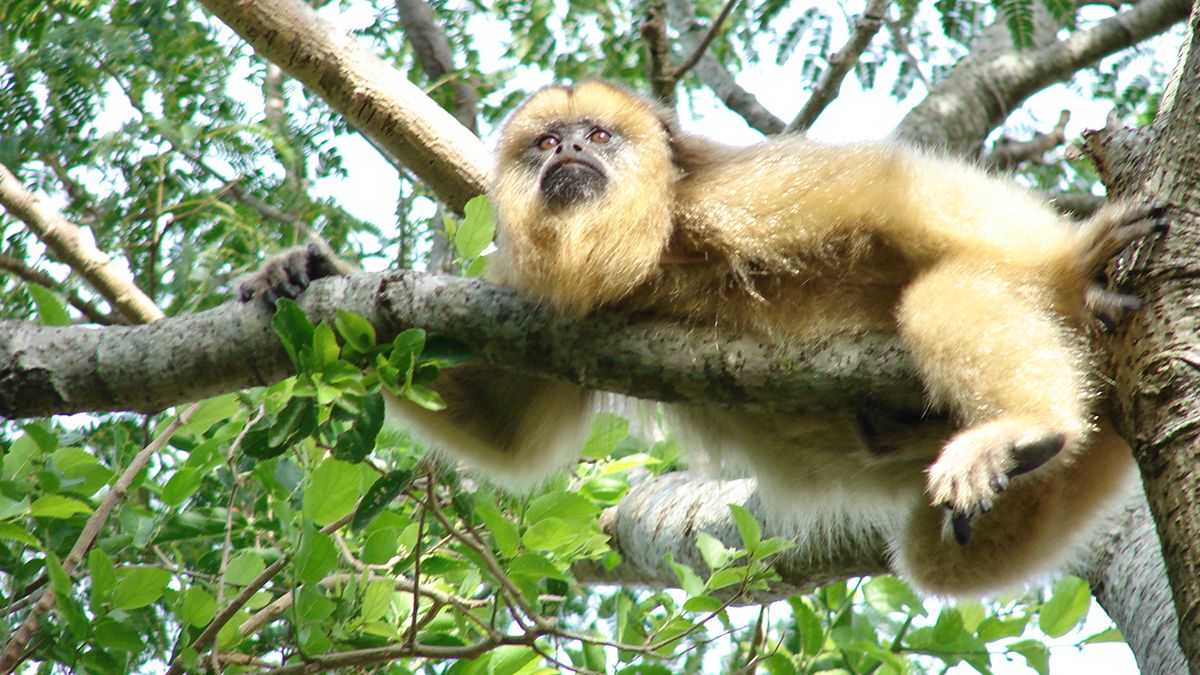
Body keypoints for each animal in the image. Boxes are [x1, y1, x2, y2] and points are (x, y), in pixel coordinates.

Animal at [243, 80, 1164, 596]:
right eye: (545, 142)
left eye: (598, 135)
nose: (568, 149)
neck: (655, 246)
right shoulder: (529, 296)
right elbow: (511, 426)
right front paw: (307, 267)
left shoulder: (736, 193)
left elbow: (910, 195)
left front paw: (1070, 254)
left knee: (953, 285)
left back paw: (1027, 411)